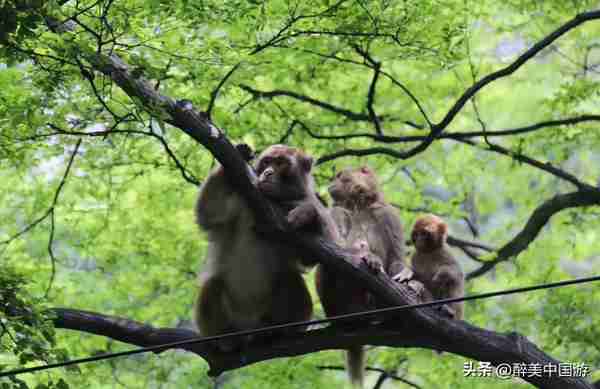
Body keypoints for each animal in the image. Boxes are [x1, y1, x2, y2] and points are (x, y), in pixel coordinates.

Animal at [193, 144, 338, 350]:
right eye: (267, 162)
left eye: (281, 163)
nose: (268, 172)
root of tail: (249, 327)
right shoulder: (243, 198)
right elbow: (209, 213)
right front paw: (237, 155)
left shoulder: (311, 204)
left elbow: (311, 257)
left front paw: (306, 214)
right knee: (213, 284)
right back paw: (226, 337)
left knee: (289, 278)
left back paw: (276, 330)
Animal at [316, 166, 410, 388]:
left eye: (340, 175)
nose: (332, 182)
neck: (359, 204)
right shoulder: (338, 211)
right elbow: (335, 244)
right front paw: (367, 255)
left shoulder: (387, 214)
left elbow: (396, 259)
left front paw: (407, 277)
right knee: (327, 266)